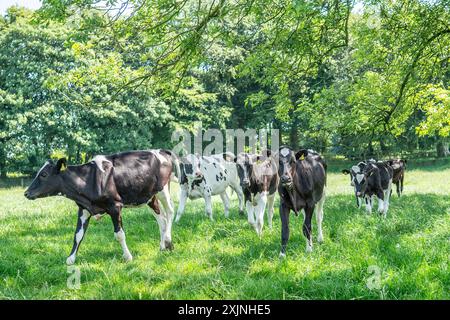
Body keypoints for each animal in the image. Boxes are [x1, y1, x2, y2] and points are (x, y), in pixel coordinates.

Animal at [23, 150, 177, 264]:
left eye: (44, 174)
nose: (26, 193)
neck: (88, 180)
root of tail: (162, 151)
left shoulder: (115, 206)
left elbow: (119, 234)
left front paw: (128, 257)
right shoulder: (83, 209)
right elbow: (78, 235)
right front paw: (71, 258)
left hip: (163, 188)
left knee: (169, 212)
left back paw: (168, 240)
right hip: (149, 196)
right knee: (161, 219)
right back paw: (163, 246)